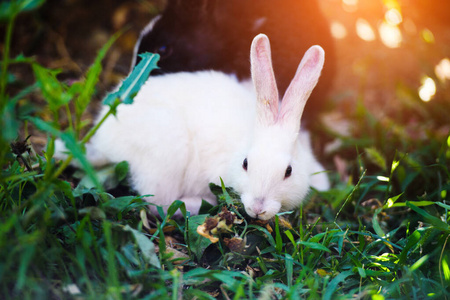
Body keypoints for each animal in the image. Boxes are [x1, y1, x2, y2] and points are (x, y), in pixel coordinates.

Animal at [74, 34, 328, 219]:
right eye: (245, 163)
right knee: (158, 203)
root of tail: (103, 141)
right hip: (167, 158)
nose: (258, 208)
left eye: (288, 171)